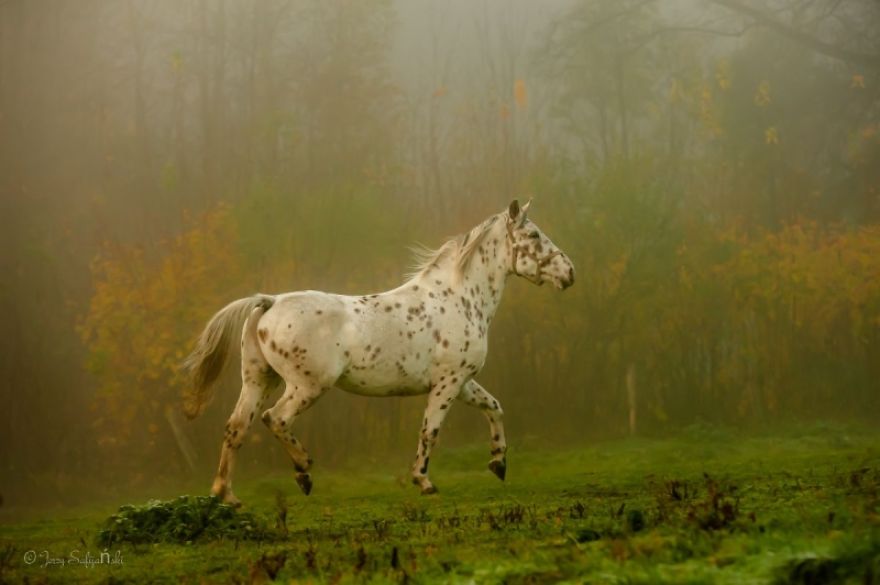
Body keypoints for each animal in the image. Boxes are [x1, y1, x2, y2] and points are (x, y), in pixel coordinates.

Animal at [182, 199, 575, 505]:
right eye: (534, 236)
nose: (569, 272)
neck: (460, 299)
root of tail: (270, 301)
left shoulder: (463, 383)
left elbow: (494, 408)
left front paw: (498, 464)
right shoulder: (447, 383)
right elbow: (430, 431)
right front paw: (424, 482)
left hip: (258, 380)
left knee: (236, 428)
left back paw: (227, 495)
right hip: (306, 385)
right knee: (275, 419)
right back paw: (304, 472)